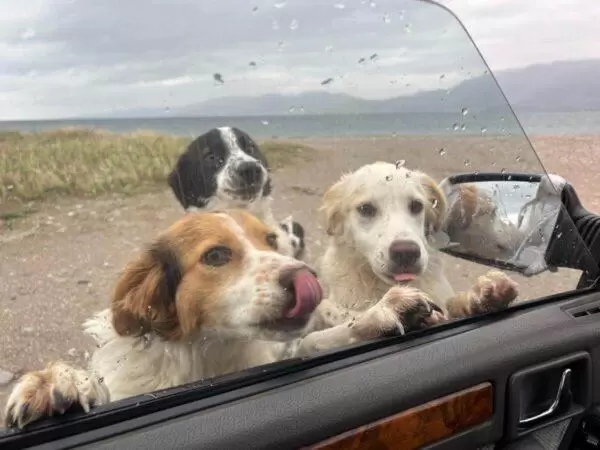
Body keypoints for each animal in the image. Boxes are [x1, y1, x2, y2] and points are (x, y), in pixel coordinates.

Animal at [3, 209, 446, 428]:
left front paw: (378, 313)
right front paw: (58, 381)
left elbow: (316, 339)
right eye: (216, 255)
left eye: (271, 240)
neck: (209, 358)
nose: (309, 279)